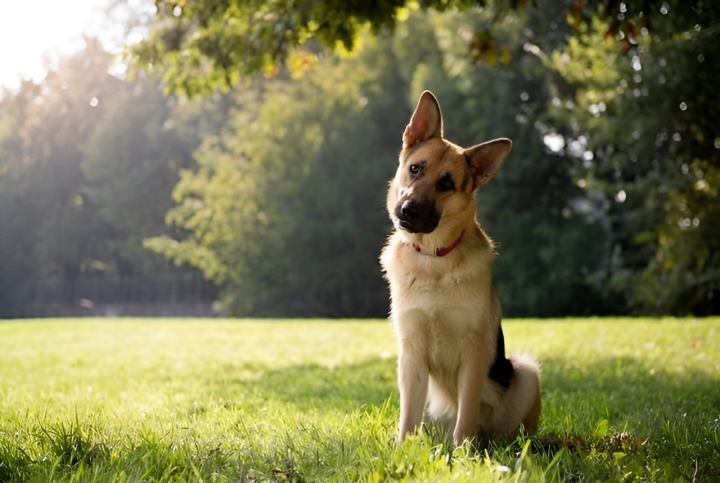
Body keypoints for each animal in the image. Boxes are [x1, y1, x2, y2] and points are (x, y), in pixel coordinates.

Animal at [382, 90, 540, 446]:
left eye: (447, 184)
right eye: (415, 169)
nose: (408, 210)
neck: (434, 259)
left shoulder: (474, 353)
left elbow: (465, 413)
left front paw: (464, 451)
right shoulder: (411, 355)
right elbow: (407, 417)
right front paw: (402, 449)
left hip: (525, 372)